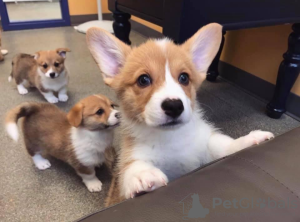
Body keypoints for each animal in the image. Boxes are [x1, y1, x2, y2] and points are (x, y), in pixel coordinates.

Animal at [86, 23, 274, 205]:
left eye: (184, 78)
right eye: (143, 80)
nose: (174, 106)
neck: (171, 138)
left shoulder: (205, 144)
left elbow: (224, 146)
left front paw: (250, 139)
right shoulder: (132, 157)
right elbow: (132, 166)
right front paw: (142, 174)